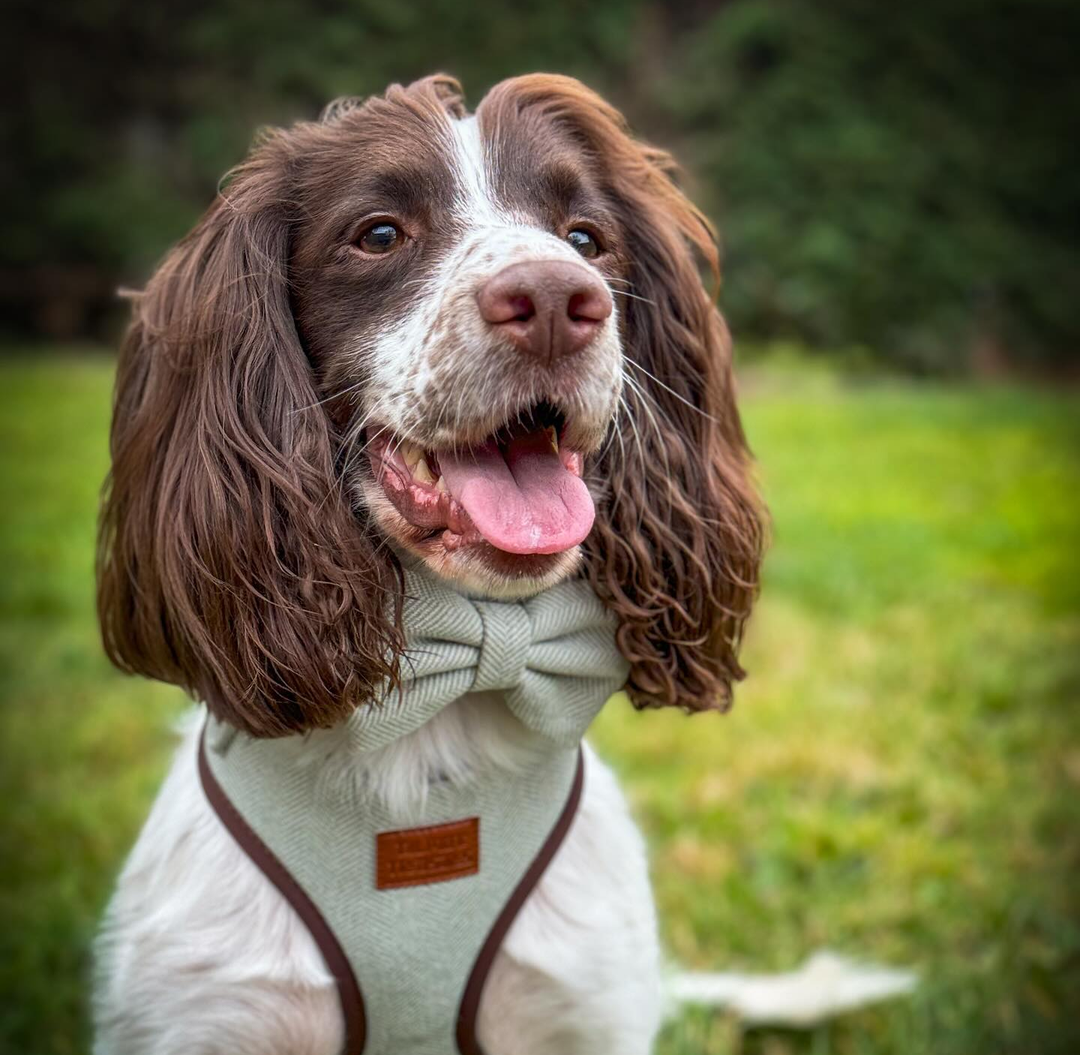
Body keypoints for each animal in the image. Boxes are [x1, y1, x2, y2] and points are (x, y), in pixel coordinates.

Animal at [95, 76, 768, 1053]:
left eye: (585, 239)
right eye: (379, 234)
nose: (559, 300)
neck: (436, 716)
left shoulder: (581, 1003)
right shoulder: (209, 1008)